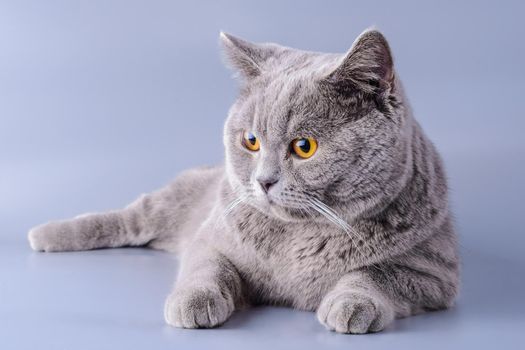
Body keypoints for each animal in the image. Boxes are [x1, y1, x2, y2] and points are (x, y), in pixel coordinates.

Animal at [27, 29, 458, 334]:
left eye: (304, 147)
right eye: (251, 141)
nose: (264, 180)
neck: (298, 237)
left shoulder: (436, 274)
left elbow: (377, 274)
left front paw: (351, 305)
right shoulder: (211, 239)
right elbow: (208, 267)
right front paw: (193, 303)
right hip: (172, 203)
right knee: (131, 217)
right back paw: (44, 234)